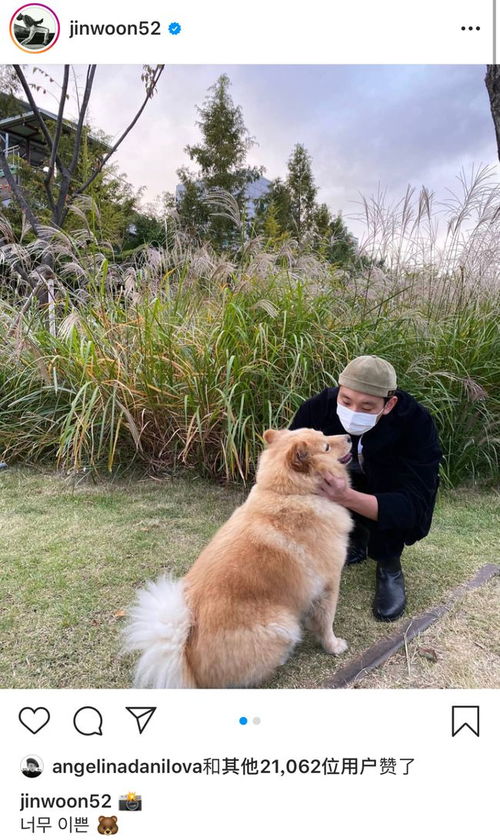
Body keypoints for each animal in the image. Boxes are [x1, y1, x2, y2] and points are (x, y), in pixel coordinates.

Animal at [124, 430, 352, 684]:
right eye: (326, 447)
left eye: (325, 435)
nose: (349, 437)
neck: (289, 494)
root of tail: (188, 660)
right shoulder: (329, 583)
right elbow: (326, 622)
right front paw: (333, 646)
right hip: (283, 624)